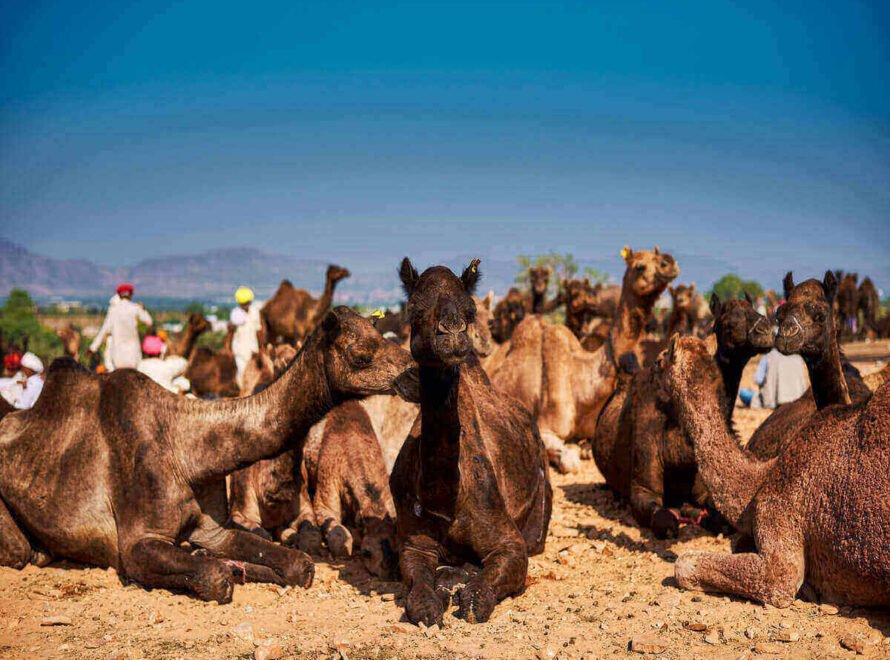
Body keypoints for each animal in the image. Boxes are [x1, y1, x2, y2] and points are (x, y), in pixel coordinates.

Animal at [0, 307, 415, 603]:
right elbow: (216, 578)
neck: (187, 452)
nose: (413, 371)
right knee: (18, 550)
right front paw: (214, 567)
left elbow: (300, 566)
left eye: (384, 337)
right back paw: (39, 552)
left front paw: (234, 563)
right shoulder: (136, 542)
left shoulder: (214, 528)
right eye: (360, 354)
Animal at [390, 258, 552, 626]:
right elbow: (419, 599)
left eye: (470, 309)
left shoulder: (510, 543)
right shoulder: (412, 544)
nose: (453, 332)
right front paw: (435, 596)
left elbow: (479, 598)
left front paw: (462, 588)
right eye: (414, 310)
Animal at [593, 293, 773, 538]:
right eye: (728, 323)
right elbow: (665, 520)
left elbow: (719, 514)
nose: (766, 330)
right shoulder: (642, 489)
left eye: (755, 310)